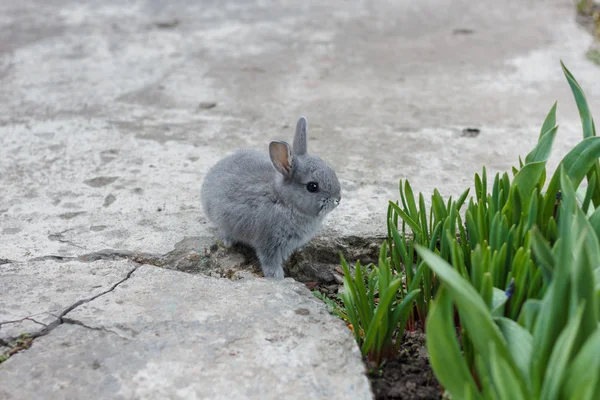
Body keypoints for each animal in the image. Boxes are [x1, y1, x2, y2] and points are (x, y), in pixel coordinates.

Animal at [202, 116, 340, 278]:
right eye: (312, 186)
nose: (338, 200)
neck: (284, 200)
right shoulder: (270, 243)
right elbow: (270, 263)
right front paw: (278, 278)